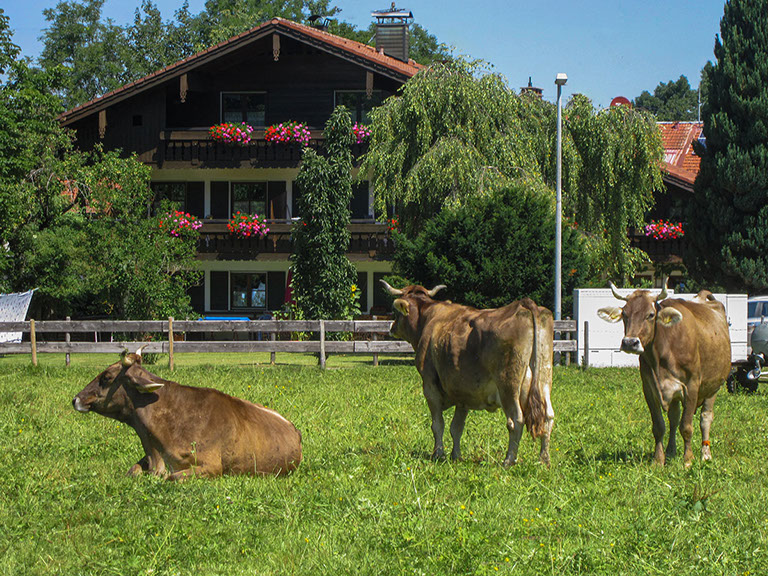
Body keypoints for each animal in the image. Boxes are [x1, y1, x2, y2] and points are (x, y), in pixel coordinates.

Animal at [381, 281, 555, 466]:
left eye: (395, 312)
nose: (391, 327)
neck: (428, 319)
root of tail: (525, 304)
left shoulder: (429, 386)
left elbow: (438, 425)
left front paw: (438, 454)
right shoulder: (463, 392)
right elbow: (456, 427)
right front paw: (456, 455)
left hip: (508, 386)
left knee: (516, 420)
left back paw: (508, 460)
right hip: (543, 379)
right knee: (548, 416)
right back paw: (544, 459)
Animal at [597, 280, 731, 467]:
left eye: (651, 314)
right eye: (624, 314)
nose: (630, 343)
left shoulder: (692, 386)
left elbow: (686, 426)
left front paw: (688, 460)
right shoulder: (649, 388)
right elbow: (660, 426)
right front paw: (658, 460)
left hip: (713, 386)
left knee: (705, 419)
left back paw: (705, 454)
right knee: (673, 419)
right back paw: (670, 452)